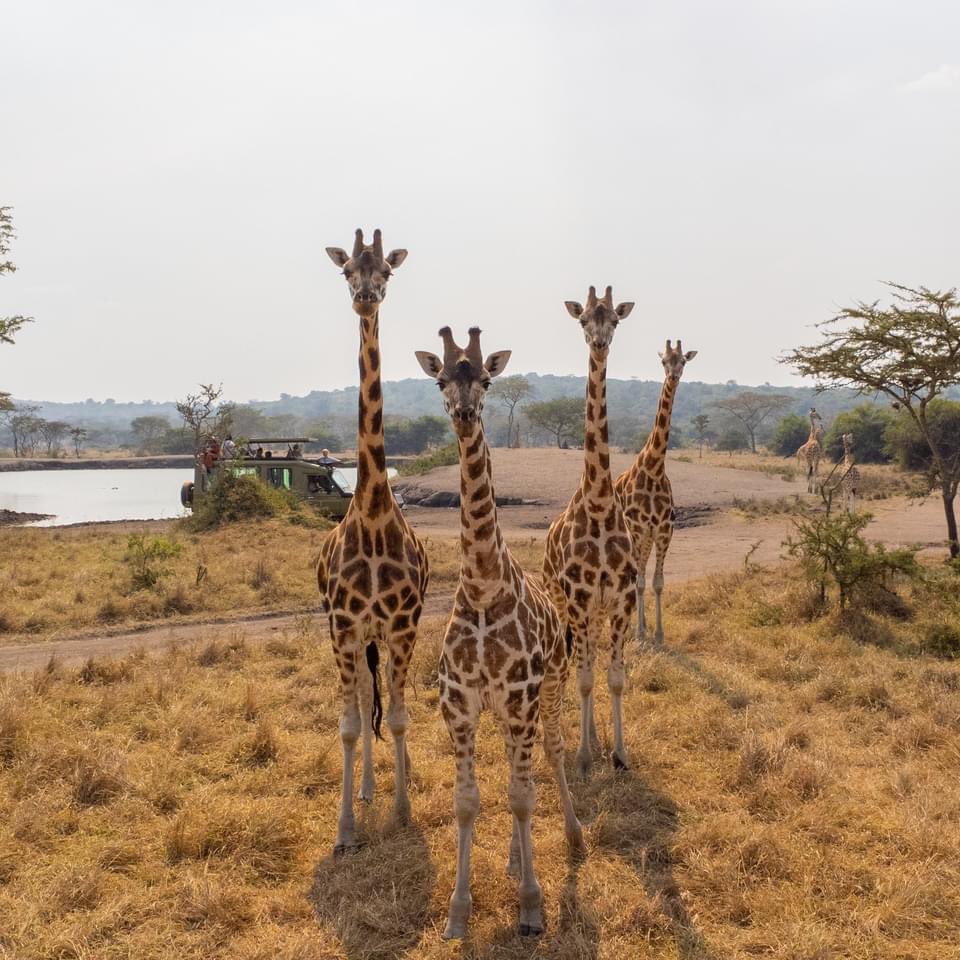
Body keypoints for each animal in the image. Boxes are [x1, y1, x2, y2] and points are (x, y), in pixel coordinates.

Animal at [414, 324, 584, 936]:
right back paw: (513, 858)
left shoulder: (519, 697)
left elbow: (522, 797)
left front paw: (532, 906)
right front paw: (458, 911)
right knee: (517, 768)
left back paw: (574, 838)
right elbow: (470, 801)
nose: (465, 414)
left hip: (551, 688)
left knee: (551, 754)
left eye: (486, 379)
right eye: (441, 378)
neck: (485, 588)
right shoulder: (462, 704)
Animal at [616, 338, 696, 644]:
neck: (653, 468)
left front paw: (658, 634)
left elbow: (658, 582)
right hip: (631, 536)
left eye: (682, 361)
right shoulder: (639, 529)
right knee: (632, 576)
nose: (673, 376)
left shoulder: (664, 530)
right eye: (663, 361)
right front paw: (639, 633)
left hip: (648, 538)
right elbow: (639, 582)